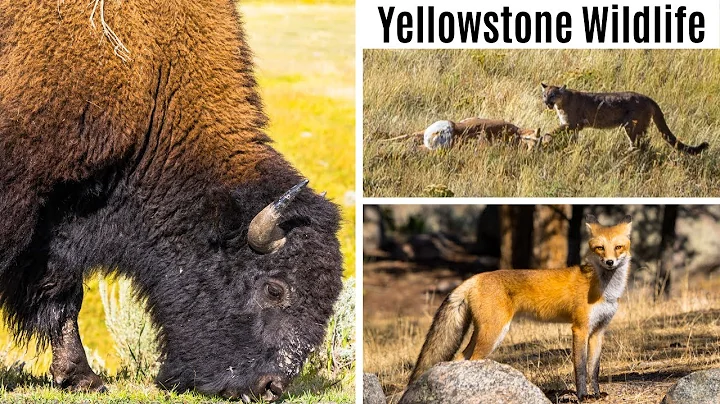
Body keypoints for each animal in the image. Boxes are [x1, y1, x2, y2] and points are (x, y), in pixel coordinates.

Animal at [407, 214, 633, 401]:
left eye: (618, 247)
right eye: (600, 248)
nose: (610, 262)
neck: (604, 289)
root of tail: (475, 277)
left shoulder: (598, 331)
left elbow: (594, 369)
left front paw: (597, 394)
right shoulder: (580, 328)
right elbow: (581, 368)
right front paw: (583, 396)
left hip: (485, 332)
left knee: (462, 358)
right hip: (494, 333)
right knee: (473, 360)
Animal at [541, 83, 709, 155]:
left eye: (553, 95)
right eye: (544, 94)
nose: (546, 102)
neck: (561, 103)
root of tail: (648, 98)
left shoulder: (573, 124)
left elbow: (555, 129)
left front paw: (546, 137)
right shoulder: (573, 127)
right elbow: (571, 138)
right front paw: (570, 148)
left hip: (631, 126)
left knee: (639, 144)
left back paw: (628, 153)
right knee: (643, 143)